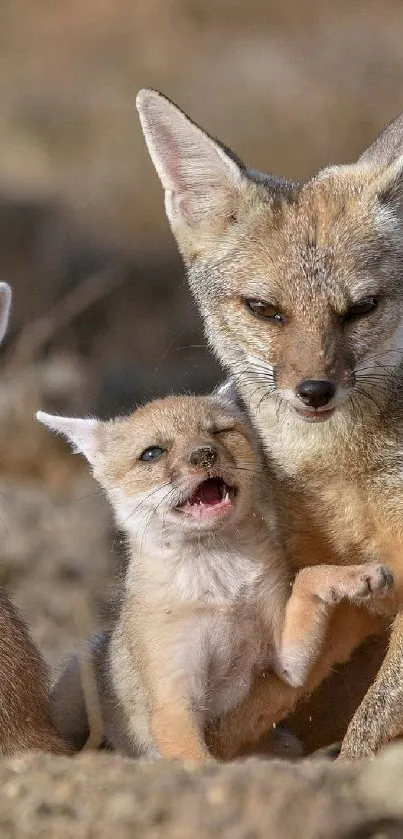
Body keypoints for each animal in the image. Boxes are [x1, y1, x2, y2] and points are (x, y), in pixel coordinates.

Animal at [137, 92, 403, 760]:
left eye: (362, 308)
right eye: (265, 310)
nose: (315, 391)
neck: (339, 472)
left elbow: (368, 724)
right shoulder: (340, 594)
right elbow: (265, 695)